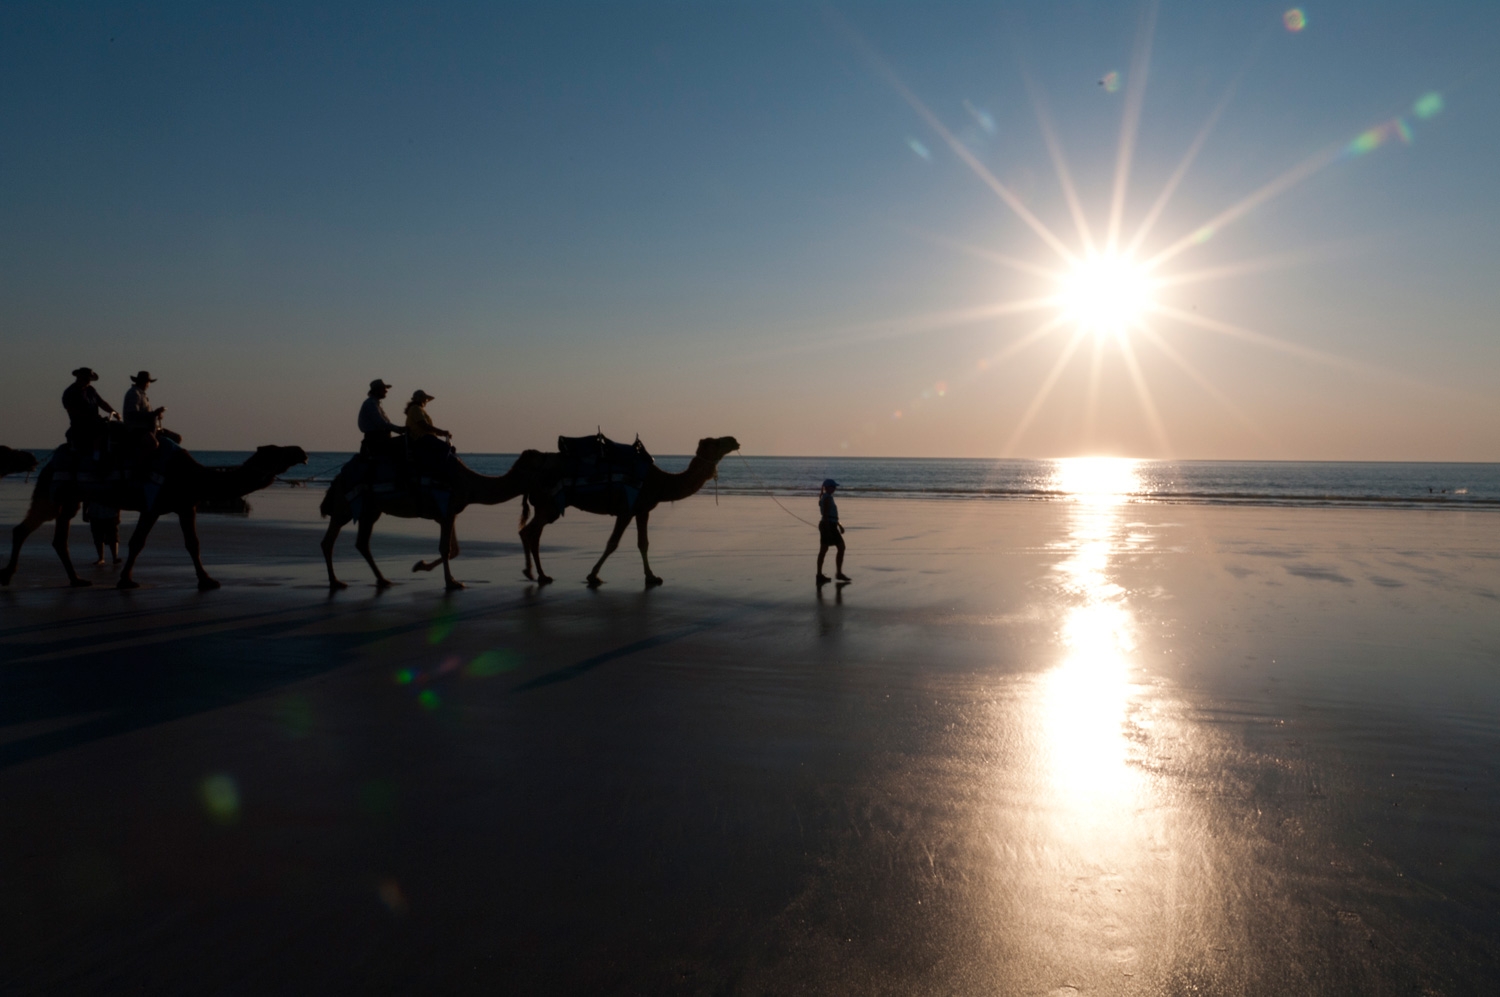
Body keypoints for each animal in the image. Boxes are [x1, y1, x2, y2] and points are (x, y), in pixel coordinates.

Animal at [1, 444, 307, 591]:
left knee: (56, 537)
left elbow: (193, 544)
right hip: (55, 493)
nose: (302, 451)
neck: (196, 476)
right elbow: (137, 542)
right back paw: (8, 576)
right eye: (277, 451)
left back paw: (76, 580)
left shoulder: (186, 505)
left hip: (69, 498)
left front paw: (207, 581)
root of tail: (45, 465)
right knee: (25, 529)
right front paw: (125, 580)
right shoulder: (152, 505)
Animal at [319, 450, 542, 591]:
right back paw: (336, 581)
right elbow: (446, 548)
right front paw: (452, 583)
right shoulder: (447, 510)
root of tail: (337, 479)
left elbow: (454, 549)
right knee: (329, 540)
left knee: (361, 543)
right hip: (344, 506)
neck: (468, 483)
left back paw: (382, 580)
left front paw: (420, 565)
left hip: (370, 510)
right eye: (539, 463)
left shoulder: (449, 513)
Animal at [519, 435, 739, 587]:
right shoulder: (626, 510)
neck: (661, 483)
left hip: (547, 507)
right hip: (549, 504)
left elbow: (643, 543)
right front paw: (593, 576)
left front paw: (652, 577)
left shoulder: (642, 510)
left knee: (532, 532)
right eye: (716, 442)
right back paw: (535, 574)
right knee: (528, 531)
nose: (734, 440)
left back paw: (538, 574)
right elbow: (612, 543)